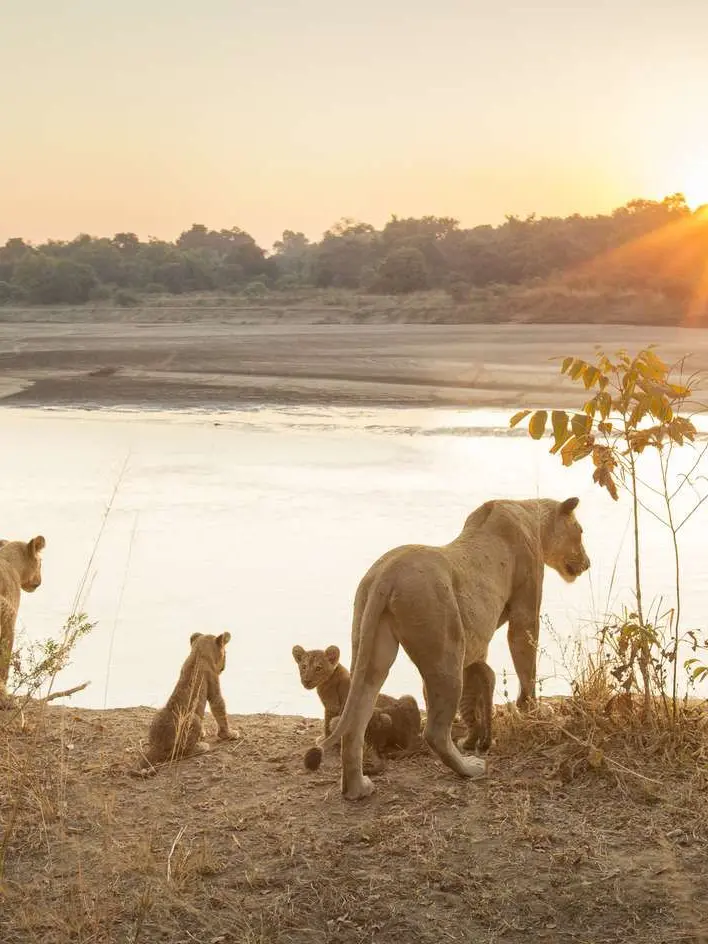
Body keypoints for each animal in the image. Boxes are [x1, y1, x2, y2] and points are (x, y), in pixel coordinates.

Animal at [133, 632, 238, 776]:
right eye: (225, 653)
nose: (224, 667)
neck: (198, 653)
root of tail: (157, 745)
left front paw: (202, 733)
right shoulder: (213, 683)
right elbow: (219, 708)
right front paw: (229, 734)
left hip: (159, 713)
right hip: (193, 718)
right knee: (184, 752)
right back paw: (201, 747)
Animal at [293, 644, 422, 772]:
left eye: (318, 668)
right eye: (303, 667)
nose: (306, 681)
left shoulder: (331, 706)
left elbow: (326, 726)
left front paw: (323, 739)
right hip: (407, 699)